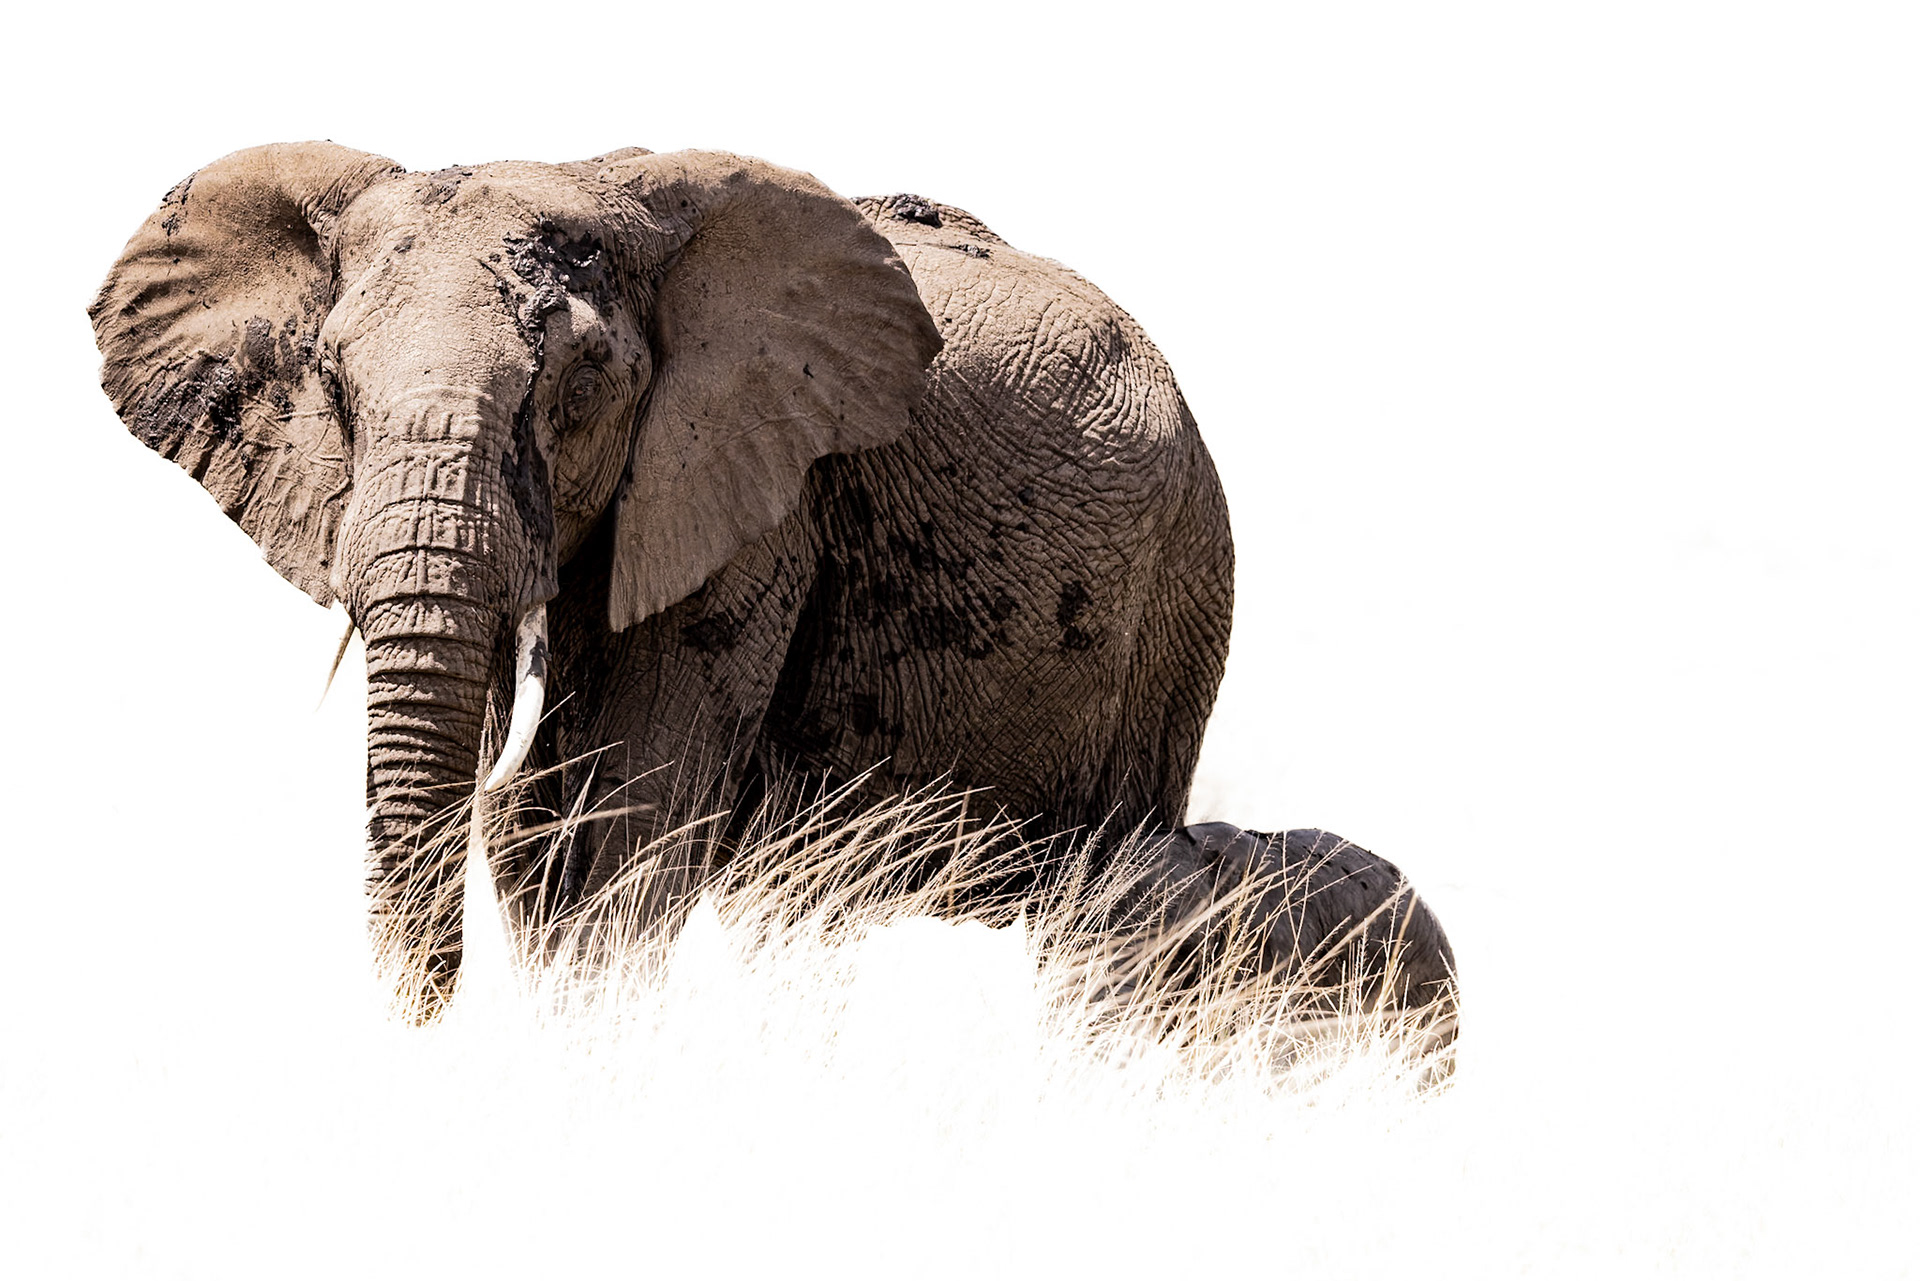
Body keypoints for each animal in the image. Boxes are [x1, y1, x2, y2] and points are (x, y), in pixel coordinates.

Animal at [90, 141, 1455, 1024]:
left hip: (1182, 591)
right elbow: (545, 818)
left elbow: (620, 810)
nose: (417, 1040)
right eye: (332, 387)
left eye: (577, 387)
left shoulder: (766, 494)